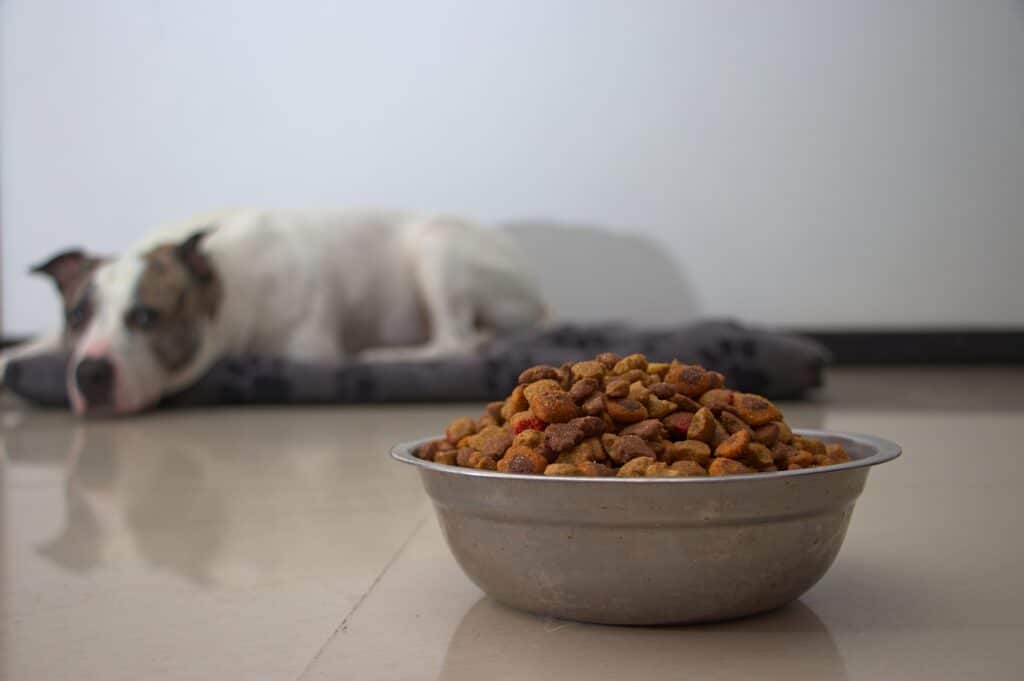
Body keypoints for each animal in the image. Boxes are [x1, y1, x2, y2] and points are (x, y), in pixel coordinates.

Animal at [4, 208, 548, 413]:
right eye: (76, 316)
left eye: (146, 317)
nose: (90, 372)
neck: (221, 279)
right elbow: (30, 345)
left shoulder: (310, 349)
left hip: (436, 246)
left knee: (455, 342)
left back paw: (382, 357)